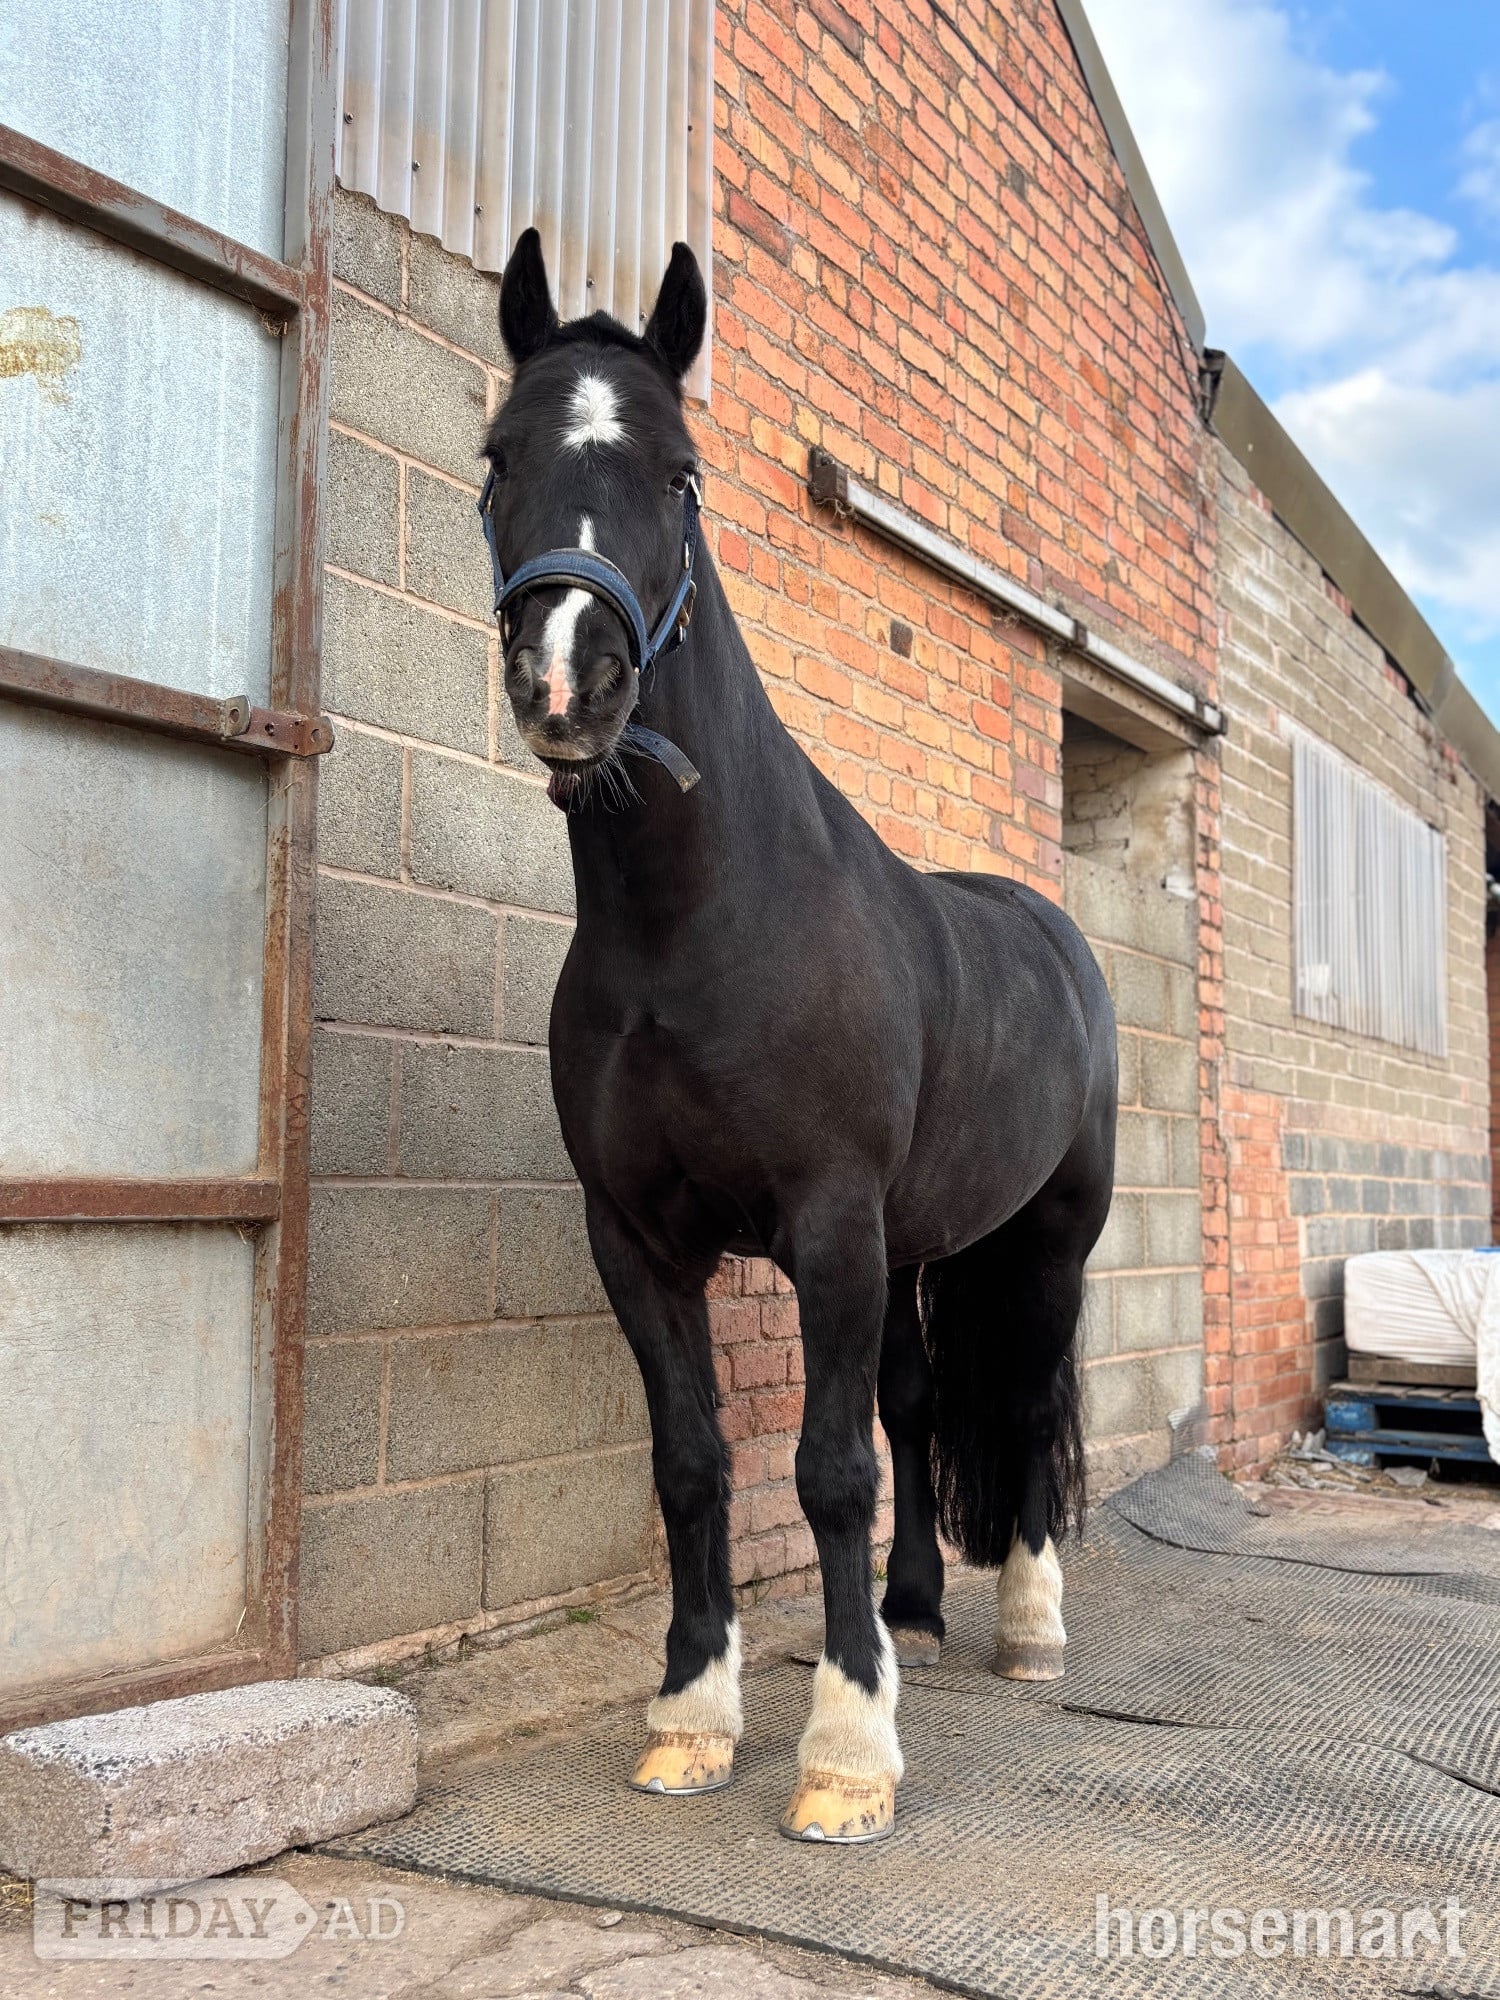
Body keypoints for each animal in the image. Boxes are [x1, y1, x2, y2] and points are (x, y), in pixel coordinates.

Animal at [477, 229, 1117, 1843]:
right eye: (499, 454)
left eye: (684, 470)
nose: (567, 682)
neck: (700, 923)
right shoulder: (639, 1239)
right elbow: (696, 1464)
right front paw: (693, 1717)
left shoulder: (828, 1224)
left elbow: (826, 1470)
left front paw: (845, 1753)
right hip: (913, 1249)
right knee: (917, 1406)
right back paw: (920, 1613)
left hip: (1045, 1243)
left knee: (1021, 1400)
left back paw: (1027, 1627)